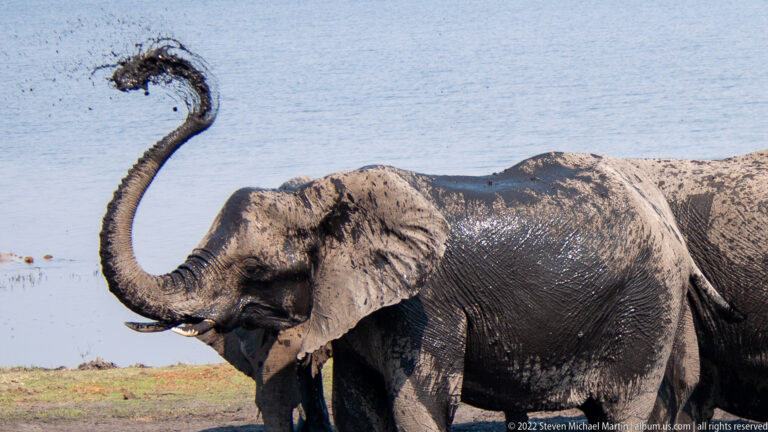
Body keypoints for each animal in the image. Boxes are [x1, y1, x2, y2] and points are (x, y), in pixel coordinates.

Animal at [100, 43, 740, 431]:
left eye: (258, 273)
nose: (145, 71)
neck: (321, 194)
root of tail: (659, 213)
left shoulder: (426, 305)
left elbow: (418, 408)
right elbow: (360, 411)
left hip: (645, 307)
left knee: (621, 409)